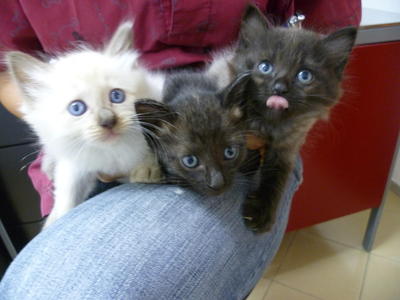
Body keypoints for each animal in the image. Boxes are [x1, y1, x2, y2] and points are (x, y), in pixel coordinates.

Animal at [5, 21, 164, 227]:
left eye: (117, 96)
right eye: (77, 108)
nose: (107, 121)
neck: (112, 151)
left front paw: (148, 168)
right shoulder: (74, 165)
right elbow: (67, 196)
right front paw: (57, 220)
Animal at [231, 5, 356, 233]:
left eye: (304, 76)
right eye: (265, 67)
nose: (279, 88)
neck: (268, 123)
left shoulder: (288, 146)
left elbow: (276, 176)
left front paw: (261, 212)